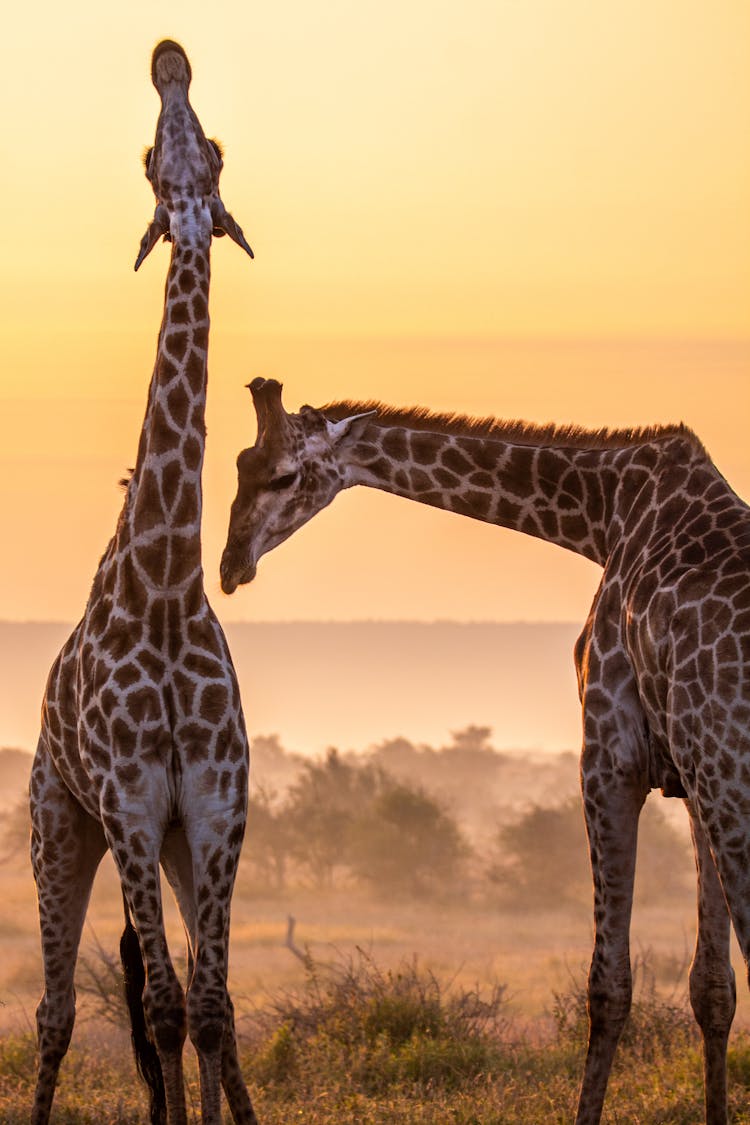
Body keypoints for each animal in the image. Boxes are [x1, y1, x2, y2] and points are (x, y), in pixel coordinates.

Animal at [220, 380, 750, 1125]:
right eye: (241, 463)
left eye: (285, 475)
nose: (230, 564)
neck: (601, 513)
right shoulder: (690, 776)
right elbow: (712, 987)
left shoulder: (611, 757)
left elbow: (609, 985)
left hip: (733, 782)